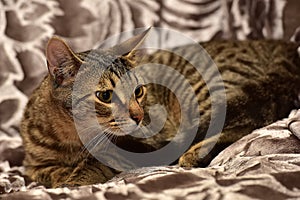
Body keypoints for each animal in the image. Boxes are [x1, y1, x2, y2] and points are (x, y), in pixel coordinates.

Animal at [19, 29, 300, 188]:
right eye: (105, 96)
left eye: (138, 91)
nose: (139, 116)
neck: (71, 139)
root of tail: (282, 46)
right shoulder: (32, 165)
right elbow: (45, 172)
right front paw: (62, 176)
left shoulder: (146, 141)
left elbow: (98, 162)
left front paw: (75, 180)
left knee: (243, 124)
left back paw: (195, 154)